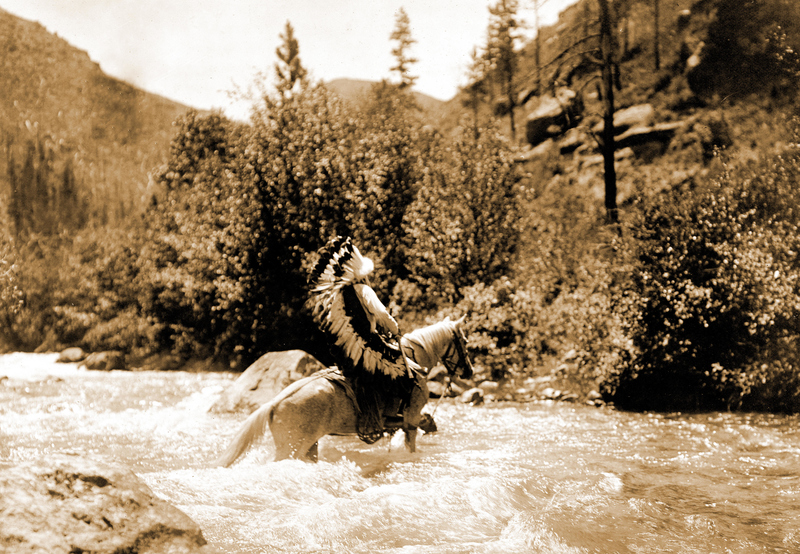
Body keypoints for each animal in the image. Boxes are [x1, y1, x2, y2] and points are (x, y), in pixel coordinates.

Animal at [216, 314, 472, 462]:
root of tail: (273, 404)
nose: (469, 371)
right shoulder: (411, 416)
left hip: (310, 445)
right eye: (465, 342)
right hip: (291, 448)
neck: (412, 362)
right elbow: (412, 441)